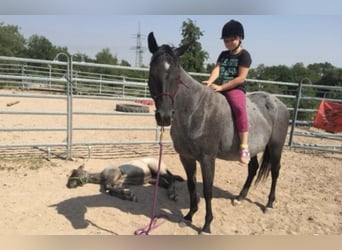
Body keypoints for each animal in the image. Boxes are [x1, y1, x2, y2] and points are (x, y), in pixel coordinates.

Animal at [148, 32, 290, 233]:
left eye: (176, 76)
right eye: (152, 72)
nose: (165, 116)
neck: (195, 111)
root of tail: (278, 103)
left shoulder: (208, 158)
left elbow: (207, 190)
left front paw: (206, 225)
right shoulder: (186, 157)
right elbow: (191, 186)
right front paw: (189, 216)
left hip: (276, 146)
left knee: (276, 171)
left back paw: (269, 204)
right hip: (253, 148)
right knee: (253, 168)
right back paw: (240, 197)